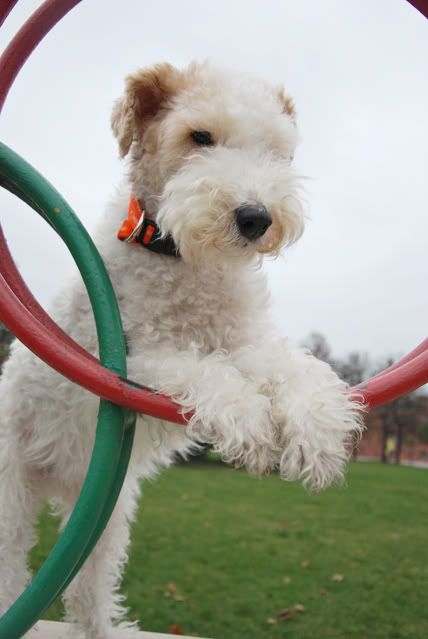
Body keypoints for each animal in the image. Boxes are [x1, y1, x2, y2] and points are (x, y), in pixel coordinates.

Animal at [0, 61, 363, 638]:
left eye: (278, 150)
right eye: (200, 137)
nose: (255, 217)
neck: (184, 264)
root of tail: (62, 482)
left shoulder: (243, 340)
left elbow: (292, 369)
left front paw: (318, 435)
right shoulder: (138, 360)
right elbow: (207, 374)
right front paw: (254, 429)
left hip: (104, 516)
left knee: (87, 590)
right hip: (12, 499)